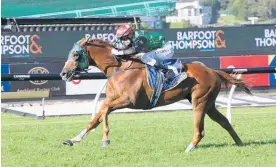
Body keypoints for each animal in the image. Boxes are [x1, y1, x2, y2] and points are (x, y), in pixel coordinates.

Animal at [59, 37, 252, 151]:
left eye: (76, 55)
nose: (63, 73)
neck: (119, 68)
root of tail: (212, 71)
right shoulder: (113, 99)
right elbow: (96, 117)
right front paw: (74, 138)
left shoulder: (128, 100)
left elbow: (104, 111)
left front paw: (105, 139)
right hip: (209, 104)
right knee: (224, 121)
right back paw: (240, 143)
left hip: (200, 102)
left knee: (200, 130)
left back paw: (189, 148)